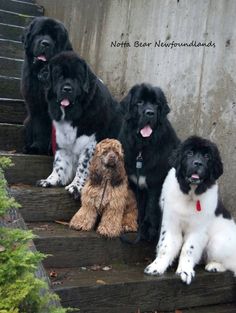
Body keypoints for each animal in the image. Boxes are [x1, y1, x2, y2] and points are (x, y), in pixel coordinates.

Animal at [21, 16, 73, 154]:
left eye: (54, 39)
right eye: (39, 34)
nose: (45, 43)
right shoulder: (36, 105)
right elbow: (40, 127)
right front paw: (37, 147)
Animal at [36, 51, 123, 197]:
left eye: (77, 78)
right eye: (59, 75)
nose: (67, 89)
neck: (73, 116)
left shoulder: (90, 144)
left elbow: (84, 166)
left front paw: (76, 186)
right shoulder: (62, 139)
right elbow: (59, 162)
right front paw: (51, 180)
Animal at [119, 83, 180, 241]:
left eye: (156, 104)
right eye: (139, 102)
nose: (150, 113)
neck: (142, 148)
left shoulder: (156, 182)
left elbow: (151, 206)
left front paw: (149, 228)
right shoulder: (137, 184)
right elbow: (141, 206)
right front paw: (140, 225)